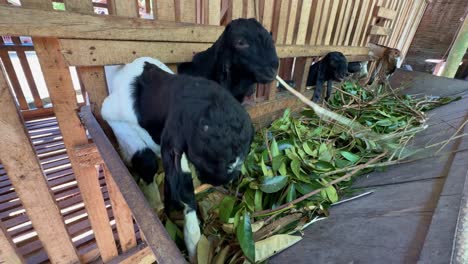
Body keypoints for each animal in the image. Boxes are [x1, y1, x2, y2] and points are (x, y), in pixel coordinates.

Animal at [101, 56, 256, 260]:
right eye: (200, 158)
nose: (225, 179)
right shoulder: (113, 117)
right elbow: (148, 162)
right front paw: (153, 203)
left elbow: (183, 187)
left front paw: (193, 243)